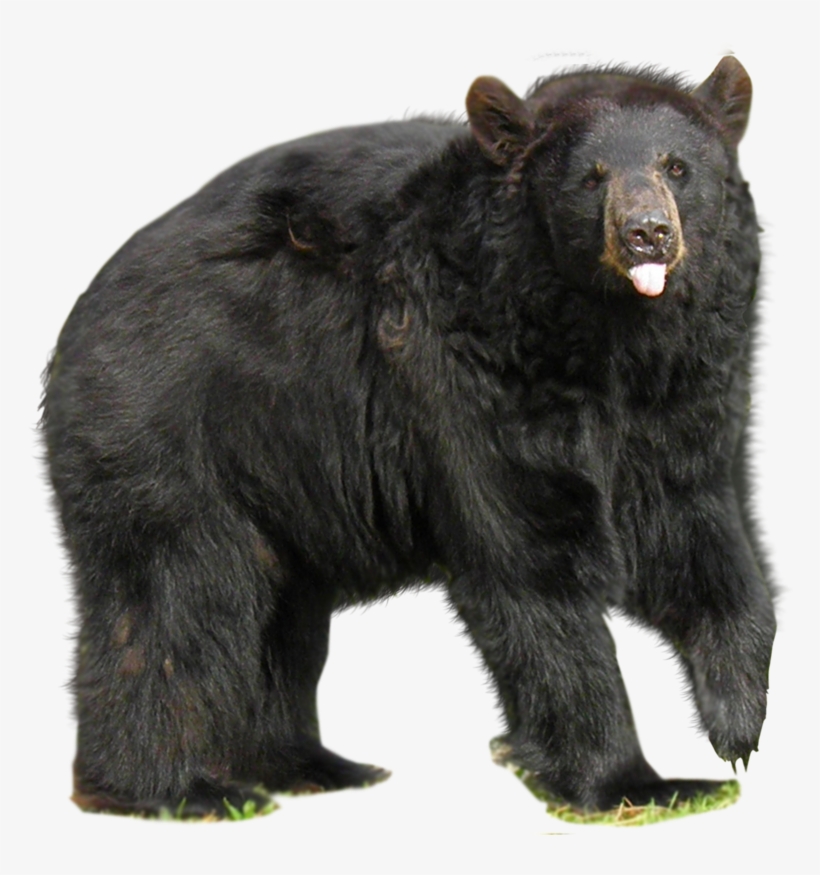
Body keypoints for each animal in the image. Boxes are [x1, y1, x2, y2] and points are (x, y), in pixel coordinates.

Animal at [41, 56, 775, 819]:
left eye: (677, 167)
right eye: (591, 177)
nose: (647, 233)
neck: (607, 339)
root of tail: (76, 322)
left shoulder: (690, 390)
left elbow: (701, 526)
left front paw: (736, 724)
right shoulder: (470, 372)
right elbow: (531, 560)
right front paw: (633, 782)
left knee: (282, 616)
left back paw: (310, 764)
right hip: (168, 426)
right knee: (175, 596)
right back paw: (176, 790)